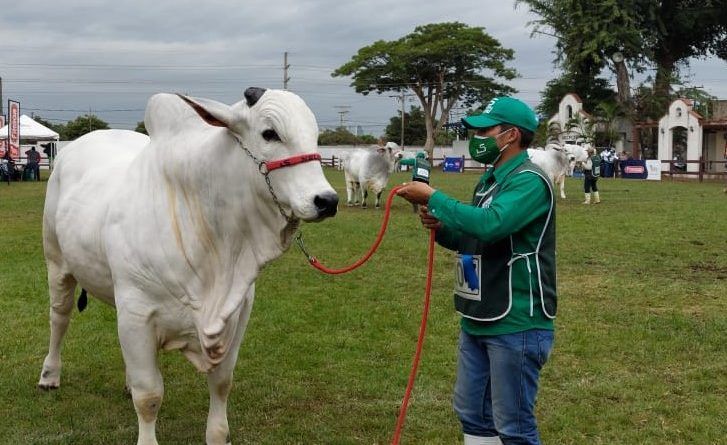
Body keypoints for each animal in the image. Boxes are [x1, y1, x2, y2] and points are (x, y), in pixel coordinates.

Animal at [37, 87, 339, 445]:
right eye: (270, 133)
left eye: (315, 135)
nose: (327, 200)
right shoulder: (137, 312)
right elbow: (149, 395)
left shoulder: (238, 313)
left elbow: (221, 383)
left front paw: (217, 434)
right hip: (57, 263)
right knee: (59, 318)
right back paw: (50, 374)